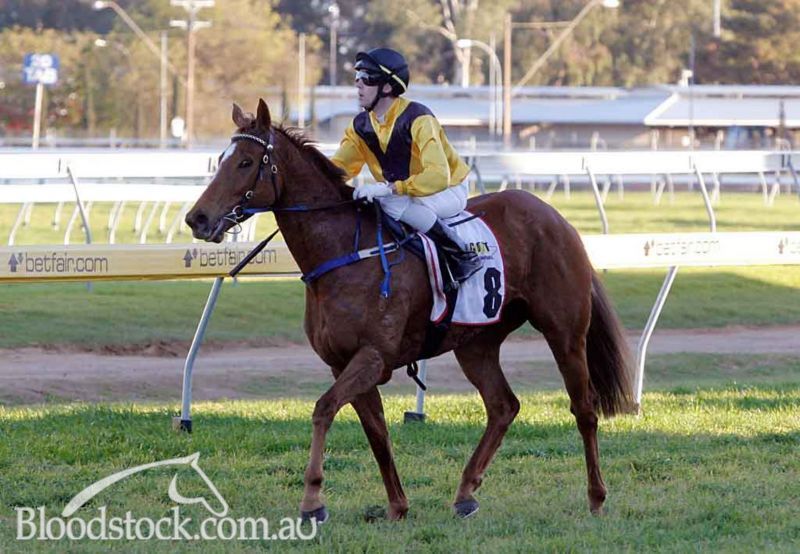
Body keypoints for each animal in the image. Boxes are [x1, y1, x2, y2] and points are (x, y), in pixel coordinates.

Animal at [185, 99, 634, 522]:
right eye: (221, 159)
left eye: (245, 162)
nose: (196, 218)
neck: (344, 253)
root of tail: (558, 219)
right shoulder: (343, 362)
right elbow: (377, 434)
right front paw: (397, 506)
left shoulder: (372, 357)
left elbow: (323, 410)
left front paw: (313, 501)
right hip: (476, 343)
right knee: (503, 406)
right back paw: (465, 493)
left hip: (565, 333)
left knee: (584, 409)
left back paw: (596, 496)